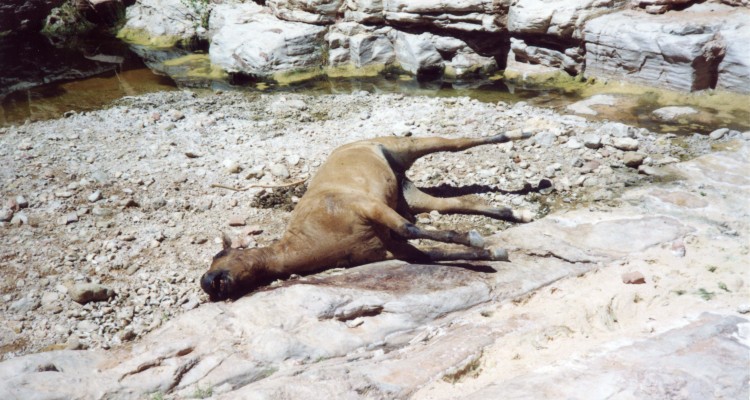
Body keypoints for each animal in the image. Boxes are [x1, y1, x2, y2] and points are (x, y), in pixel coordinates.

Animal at [201, 133, 536, 302]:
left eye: (220, 254)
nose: (208, 284)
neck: (312, 236)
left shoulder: (368, 207)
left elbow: (412, 229)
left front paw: (477, 241)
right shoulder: (388, 248)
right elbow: (433, 253)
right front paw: (493, 252)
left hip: (404, 146)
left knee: (457, 142)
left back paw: (522, 132)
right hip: (412, 196)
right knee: (461, 201)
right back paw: (518, 212)